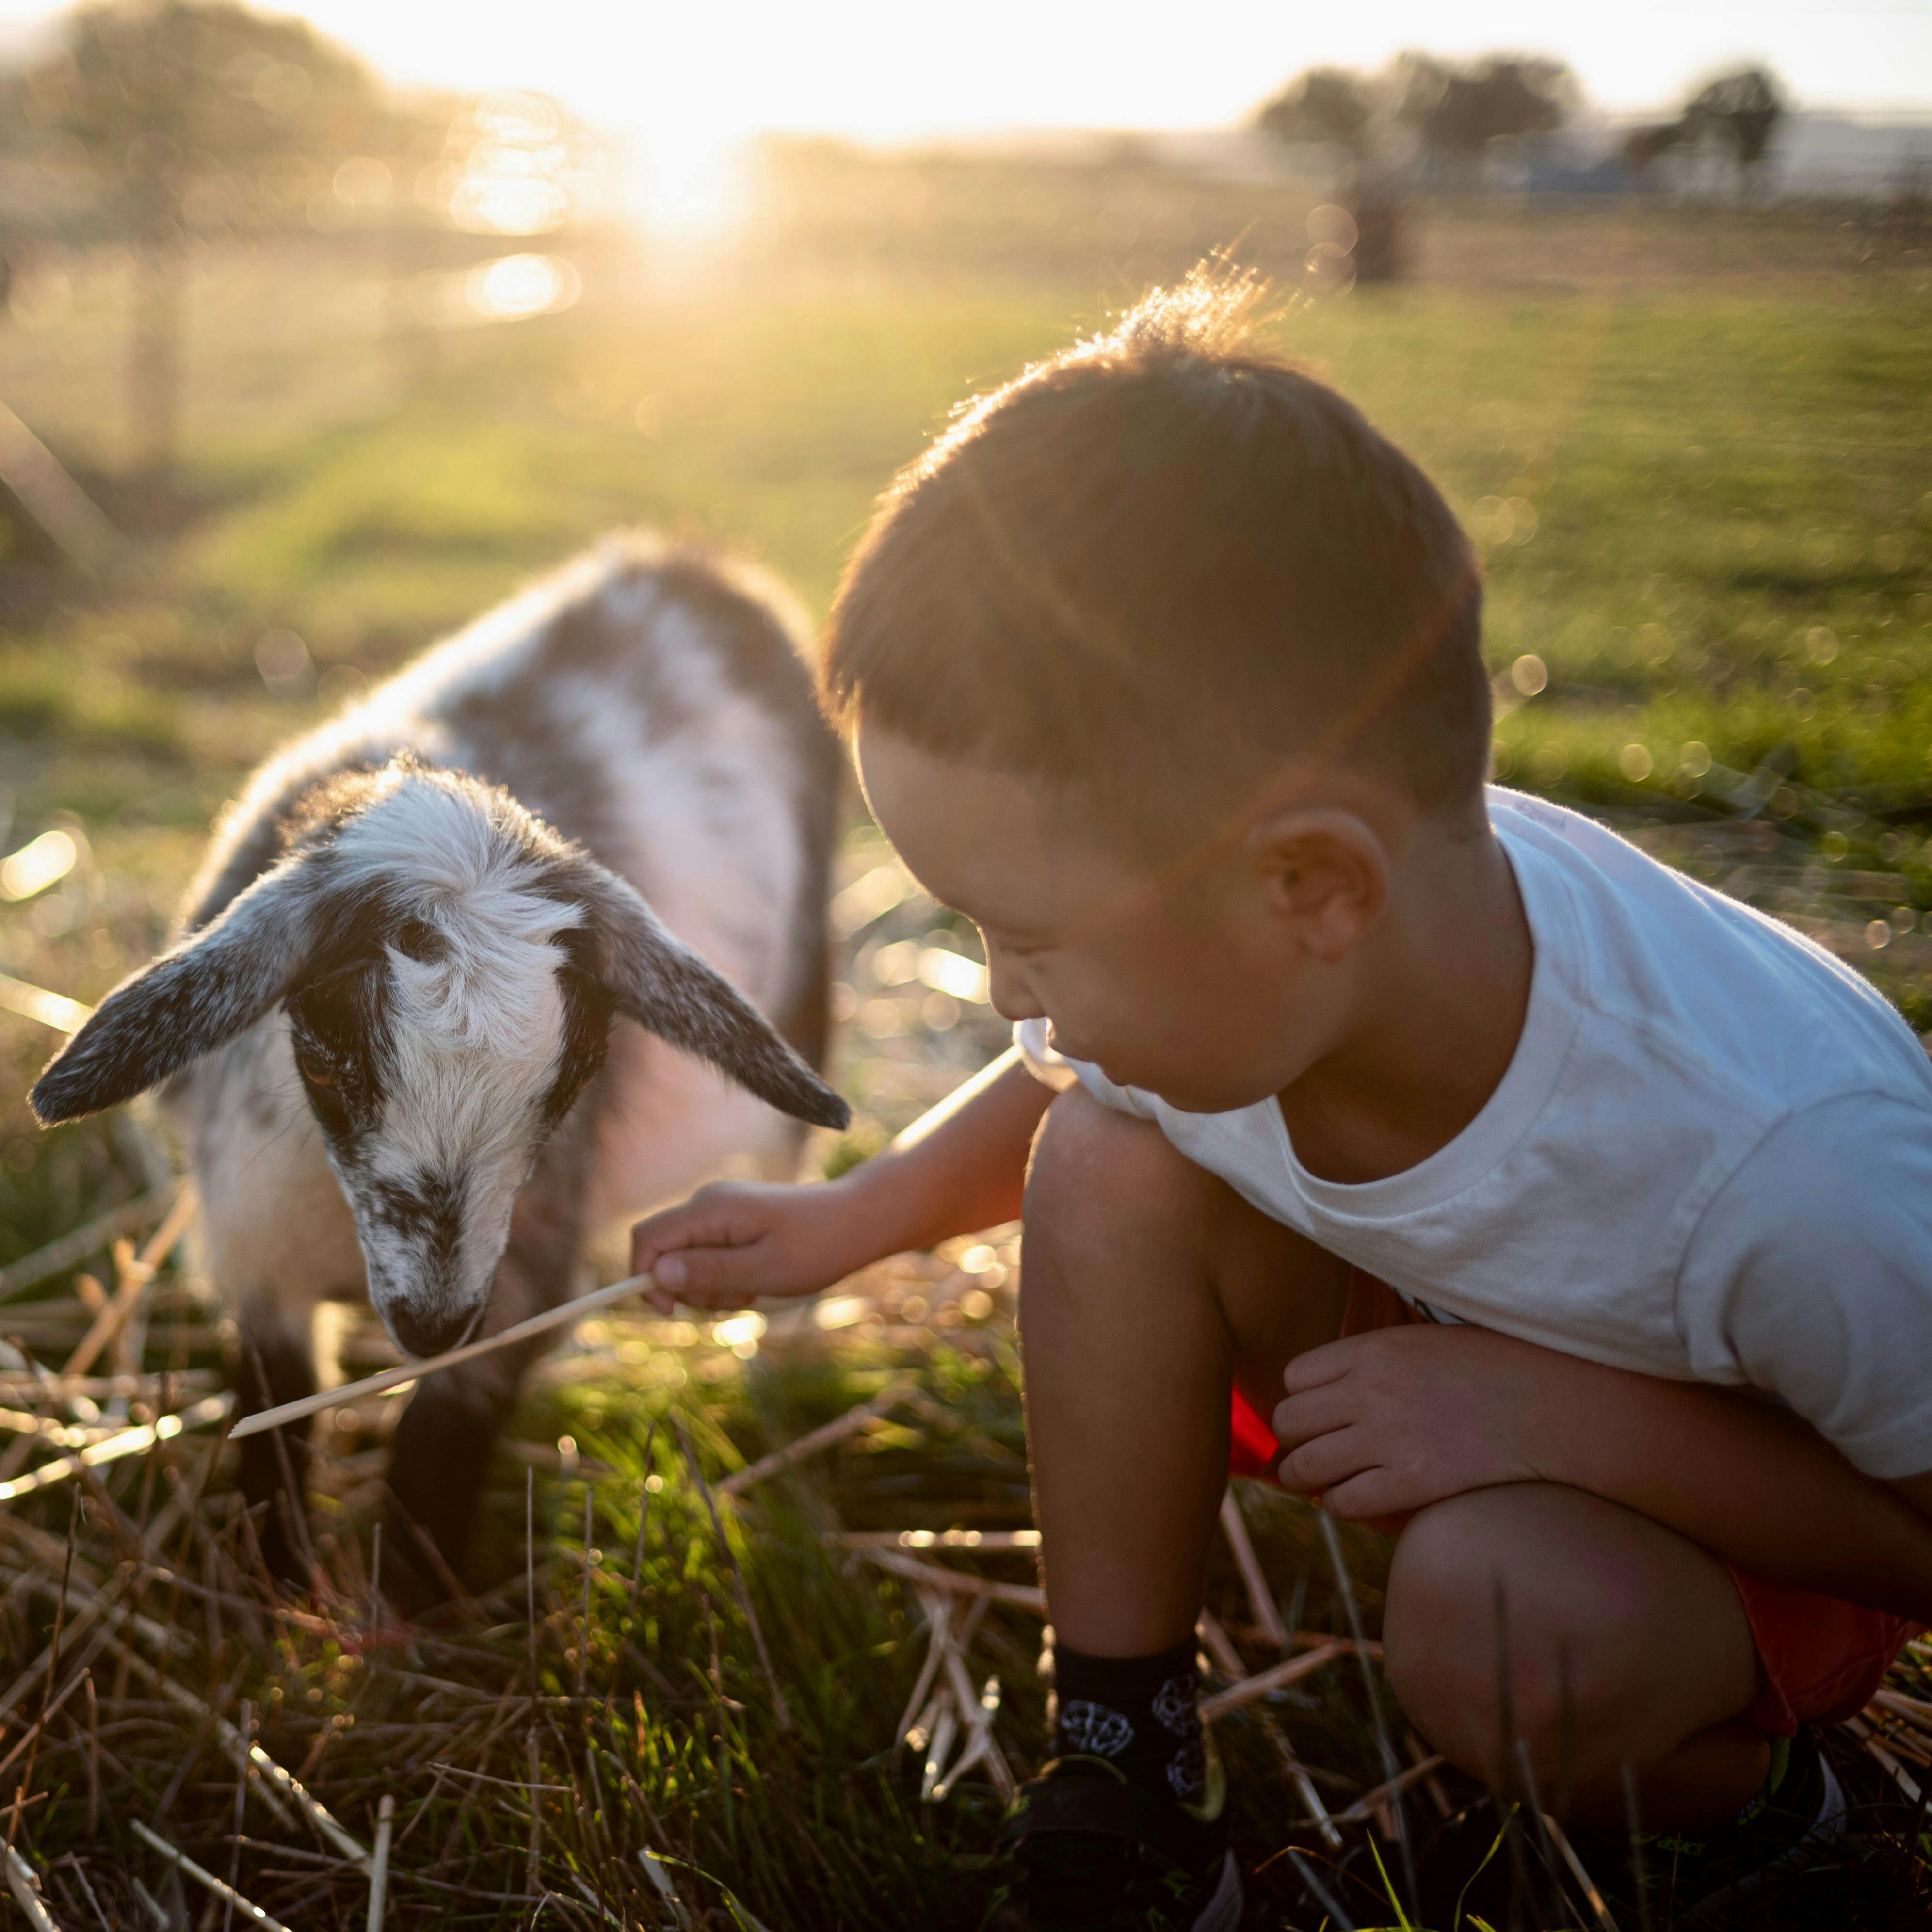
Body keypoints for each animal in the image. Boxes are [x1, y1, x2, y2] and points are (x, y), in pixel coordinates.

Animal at [30, 535, 848, 1596]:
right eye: (328, 1056)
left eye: (575, 1075)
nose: (429, 1324)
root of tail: (690, 559)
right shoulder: (254, 1246)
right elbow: (273, 1426)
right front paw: (281, 1594)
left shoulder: (526, 1270)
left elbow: (437, 1448)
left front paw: (409, 1605)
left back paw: (777, 1345)